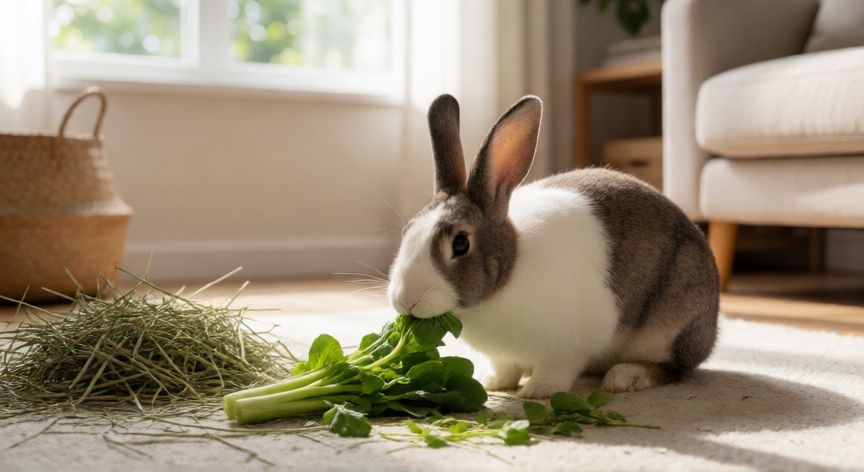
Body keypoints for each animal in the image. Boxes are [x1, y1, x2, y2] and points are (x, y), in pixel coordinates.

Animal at [387, 94, 719, 398]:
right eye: (406, 231)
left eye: (460, 244)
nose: (406, 300)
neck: (509, 270)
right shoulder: (504, 356)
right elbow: (505, 367)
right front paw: (493, 383)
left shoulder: (568, 346)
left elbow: (557, 370)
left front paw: (536, 391)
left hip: (669, 326)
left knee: (673, 368)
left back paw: (624, 377)